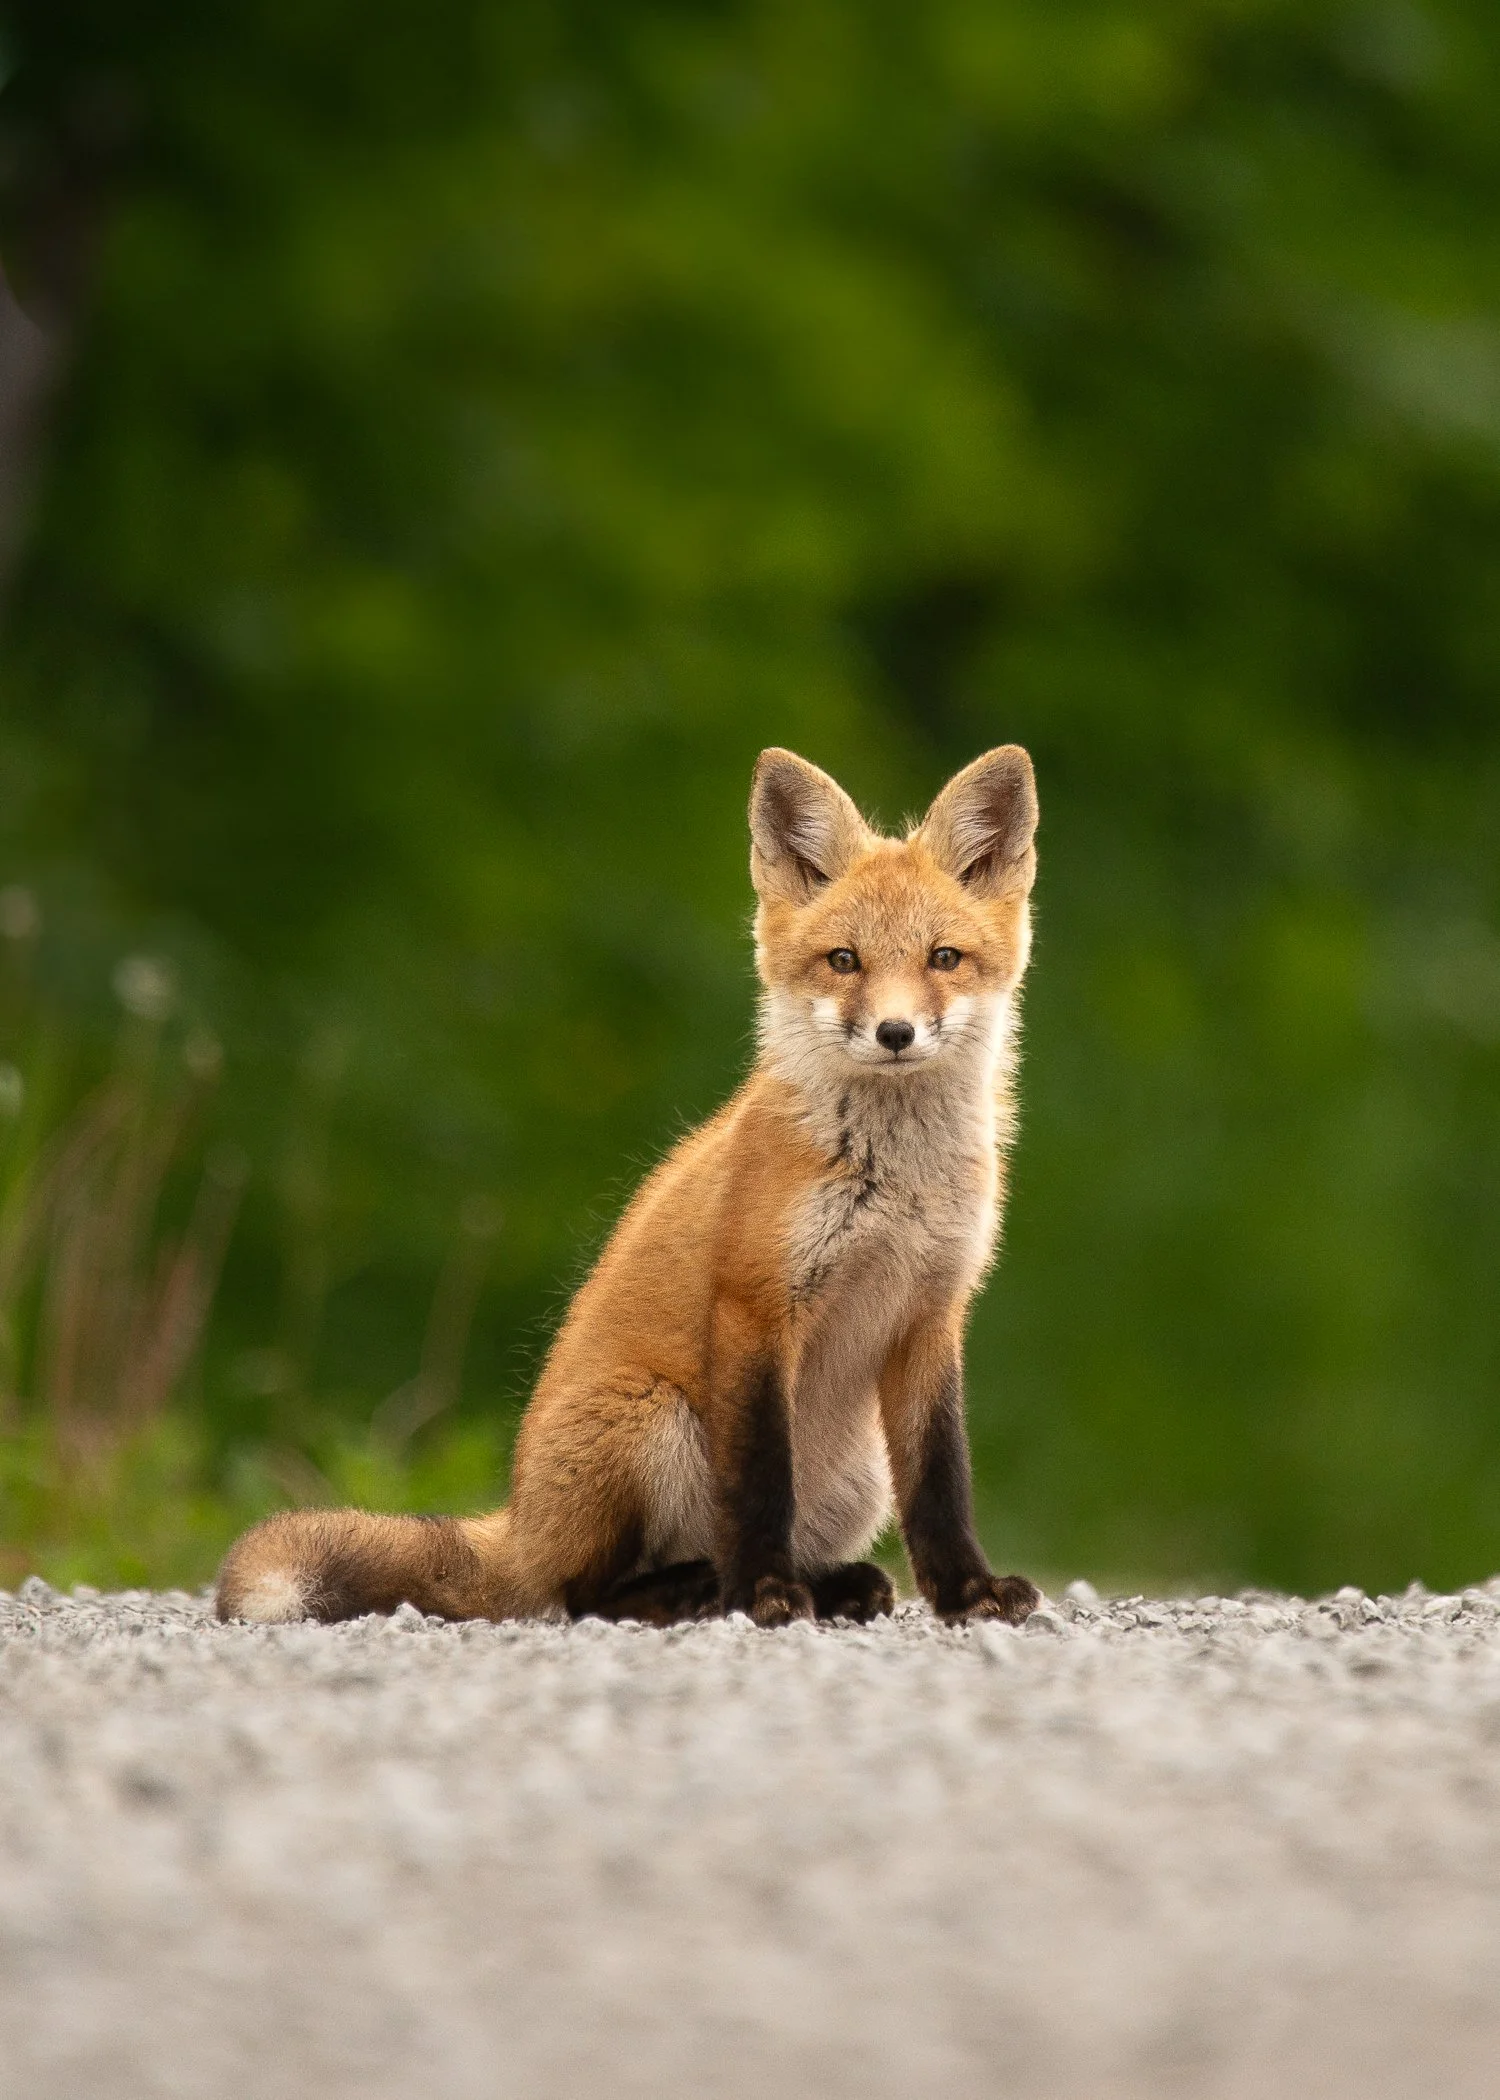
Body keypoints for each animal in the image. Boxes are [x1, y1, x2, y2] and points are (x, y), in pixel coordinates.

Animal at [216, 743, 1043, 1630]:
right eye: (844, 961)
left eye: (943, 958)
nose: (895, 1033)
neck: (893, 1182)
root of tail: (520, 1521)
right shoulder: (755, 1305)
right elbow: (760, 1485)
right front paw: (764, 1594)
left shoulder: (931, 1314)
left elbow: (942, 1486)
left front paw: (967, 1592)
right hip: (652, 1421)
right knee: (582, 1595)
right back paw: (700, 1589)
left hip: (858, 1479)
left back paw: (831, 1584)